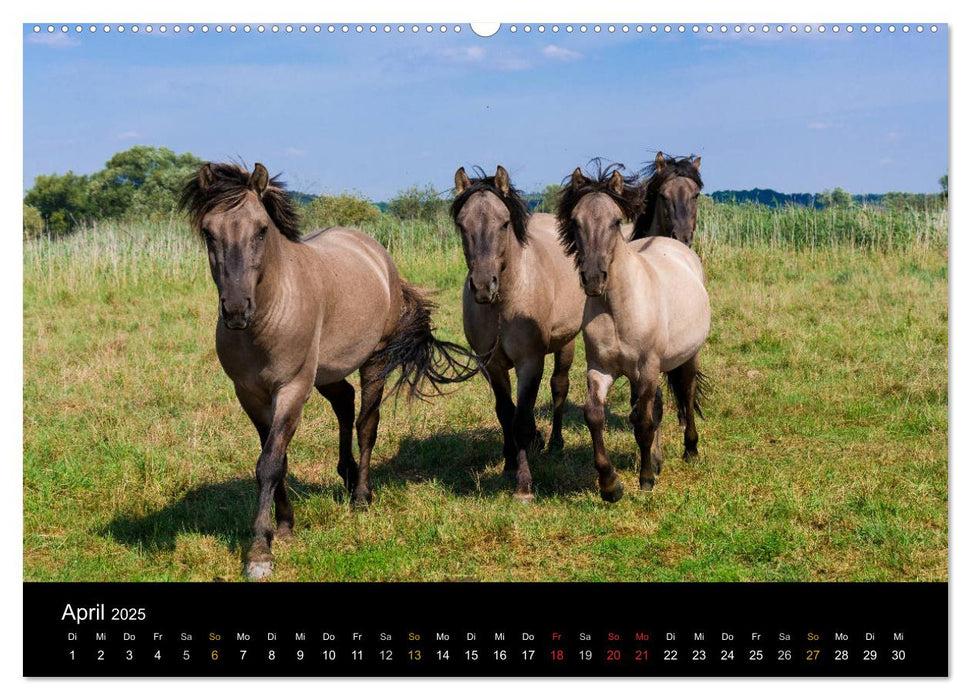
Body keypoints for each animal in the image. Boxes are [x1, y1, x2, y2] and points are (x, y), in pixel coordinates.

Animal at [179, 161, 482, 576]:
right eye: (209, 232)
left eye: (261, 229)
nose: (237, 310)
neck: (268, 315)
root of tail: (379, 256)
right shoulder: (250, 395)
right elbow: (277, 459)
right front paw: (284, 526)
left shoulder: (292, 389)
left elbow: (269, 463)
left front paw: (260, 551)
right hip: (327, 373)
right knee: (344, 401)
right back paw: (348, 474)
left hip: (375, 360)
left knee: (366, 423)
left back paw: (362, 495)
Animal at [450, 166, 584, 500]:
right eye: (462, 225)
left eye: (504, 223)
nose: (483, 285)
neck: (505, 302)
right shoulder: (492, 366)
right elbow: (505, 413)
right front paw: (509, 464)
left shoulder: (530, 362)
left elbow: (520, 419)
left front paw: (523, 486)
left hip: (566, 343)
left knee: (559, 386)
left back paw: (555, 443)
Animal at [556, 164, 712, 504]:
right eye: (575, 221)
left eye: (616, 221)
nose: (593, 278)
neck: (618, 308)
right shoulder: (600, 369)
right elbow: (595, 415)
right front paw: (610, 484)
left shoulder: (647, 369)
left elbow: (642, 423)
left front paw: (646, 479)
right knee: (658, 405)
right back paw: (657, 458)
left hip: (689, 356)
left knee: (686, 393)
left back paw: (691, 451)